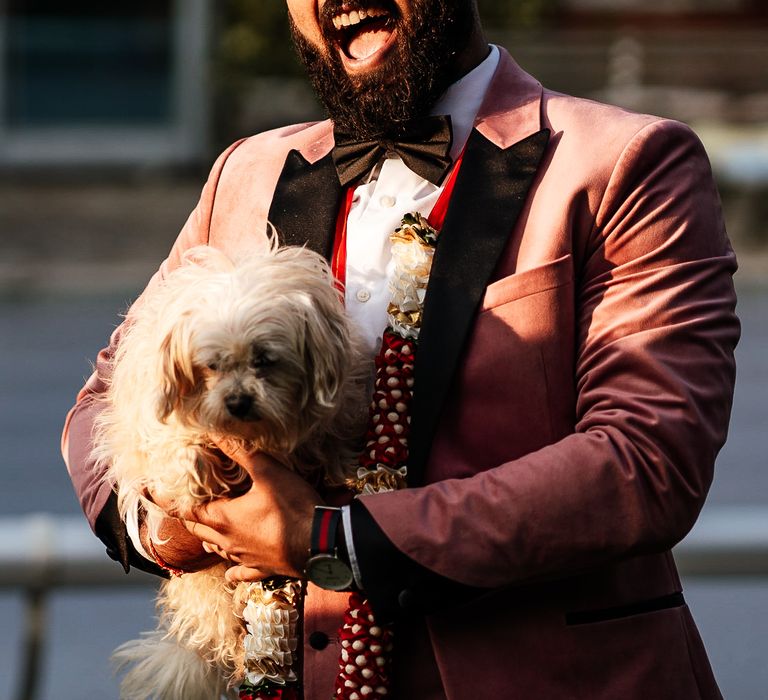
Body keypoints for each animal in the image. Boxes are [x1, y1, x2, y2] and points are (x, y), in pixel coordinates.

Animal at [94, 243, 368, 696]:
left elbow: (328, 436)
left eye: (265, 360)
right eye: (211, 365)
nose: (238, 402)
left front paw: (340, 464)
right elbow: (173, 448)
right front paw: (196, 464)